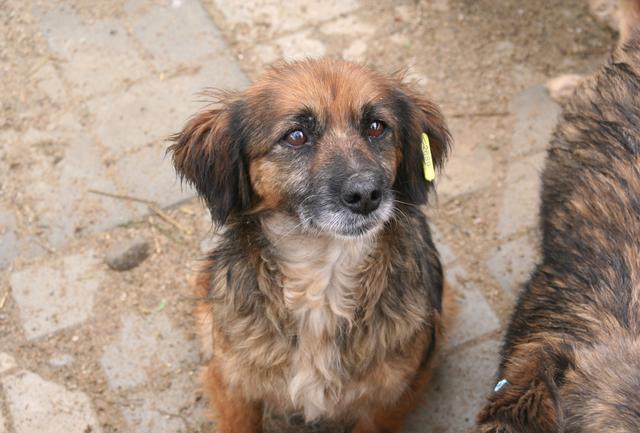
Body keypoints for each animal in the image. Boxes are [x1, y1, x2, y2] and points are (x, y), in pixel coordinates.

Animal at [169, 58, 450, 432]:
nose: (366, 194)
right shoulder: (232, 386)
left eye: (377, 127)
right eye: (296, 136)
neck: (322, 274)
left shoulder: (389, 400)